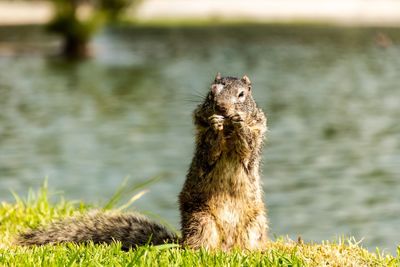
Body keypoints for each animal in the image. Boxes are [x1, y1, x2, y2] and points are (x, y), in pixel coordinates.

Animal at [18, 74, 268, 252]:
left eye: (242, 94)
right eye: (211, 91)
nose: (222, 108)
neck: (228, 133)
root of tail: (228, 247)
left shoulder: (256, 138)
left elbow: (247, 150)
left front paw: (239, 123)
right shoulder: (203, 143)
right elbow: (209, 152)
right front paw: (216, 124)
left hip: (255, 226)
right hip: (201, 221)